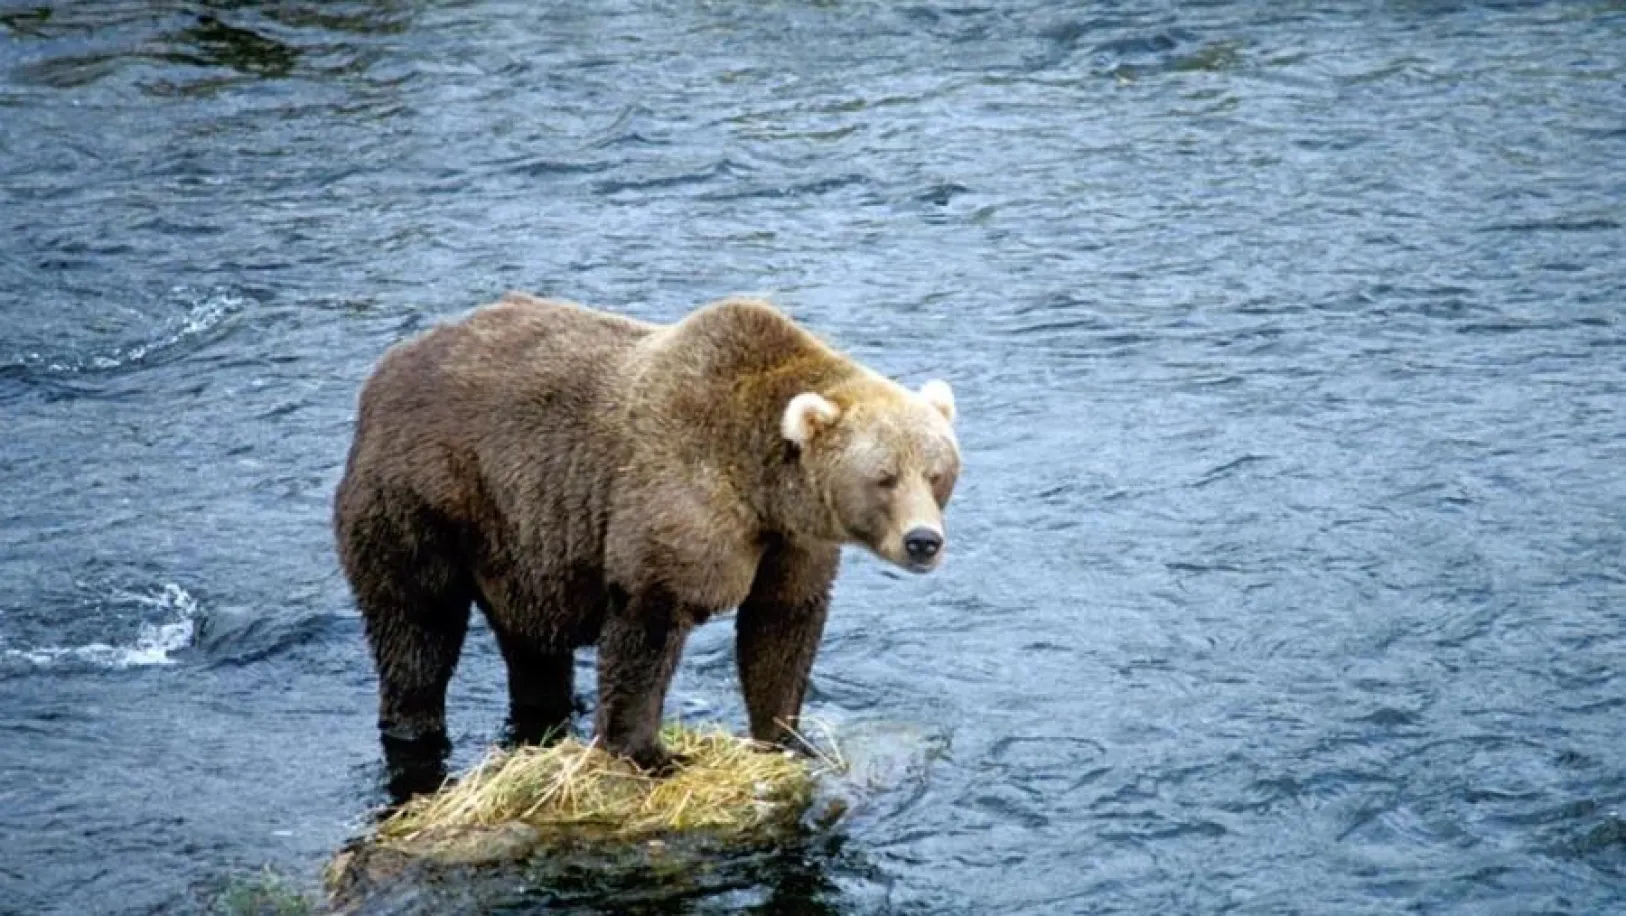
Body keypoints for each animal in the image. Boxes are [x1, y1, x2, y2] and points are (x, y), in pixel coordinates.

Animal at [333, 293, 960, 776]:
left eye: (936, 472)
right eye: (884, 477)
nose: (923, 541)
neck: (759, 484)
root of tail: (382, 374)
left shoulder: (792, 542)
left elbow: (781, 625)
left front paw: (783, 736)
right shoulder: (677, 498)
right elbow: (648, 626)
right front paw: (649, 752)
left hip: (518, 540)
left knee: (531, 640)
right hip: (422, 499)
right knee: (416, 625)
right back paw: (414, 724)